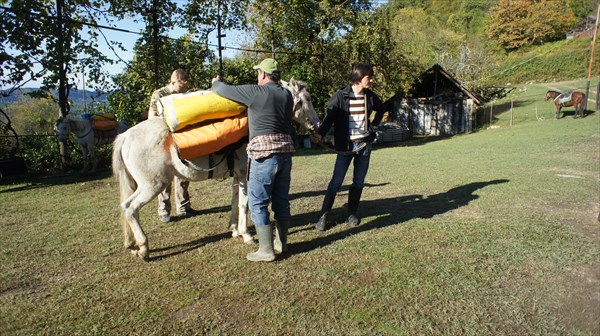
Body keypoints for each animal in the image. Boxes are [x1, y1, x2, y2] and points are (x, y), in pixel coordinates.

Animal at [111, 79, 318, 262]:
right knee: (129, 208)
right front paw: (246, 234)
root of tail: (126, 136)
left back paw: (132, 244)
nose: (315, 124)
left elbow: (235, 203)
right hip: (152, 185)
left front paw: (235, 230)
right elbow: (244, 205)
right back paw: (143, 248)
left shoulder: (238, 177)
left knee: (127, 209)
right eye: (305, 99)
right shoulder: (246, 176)